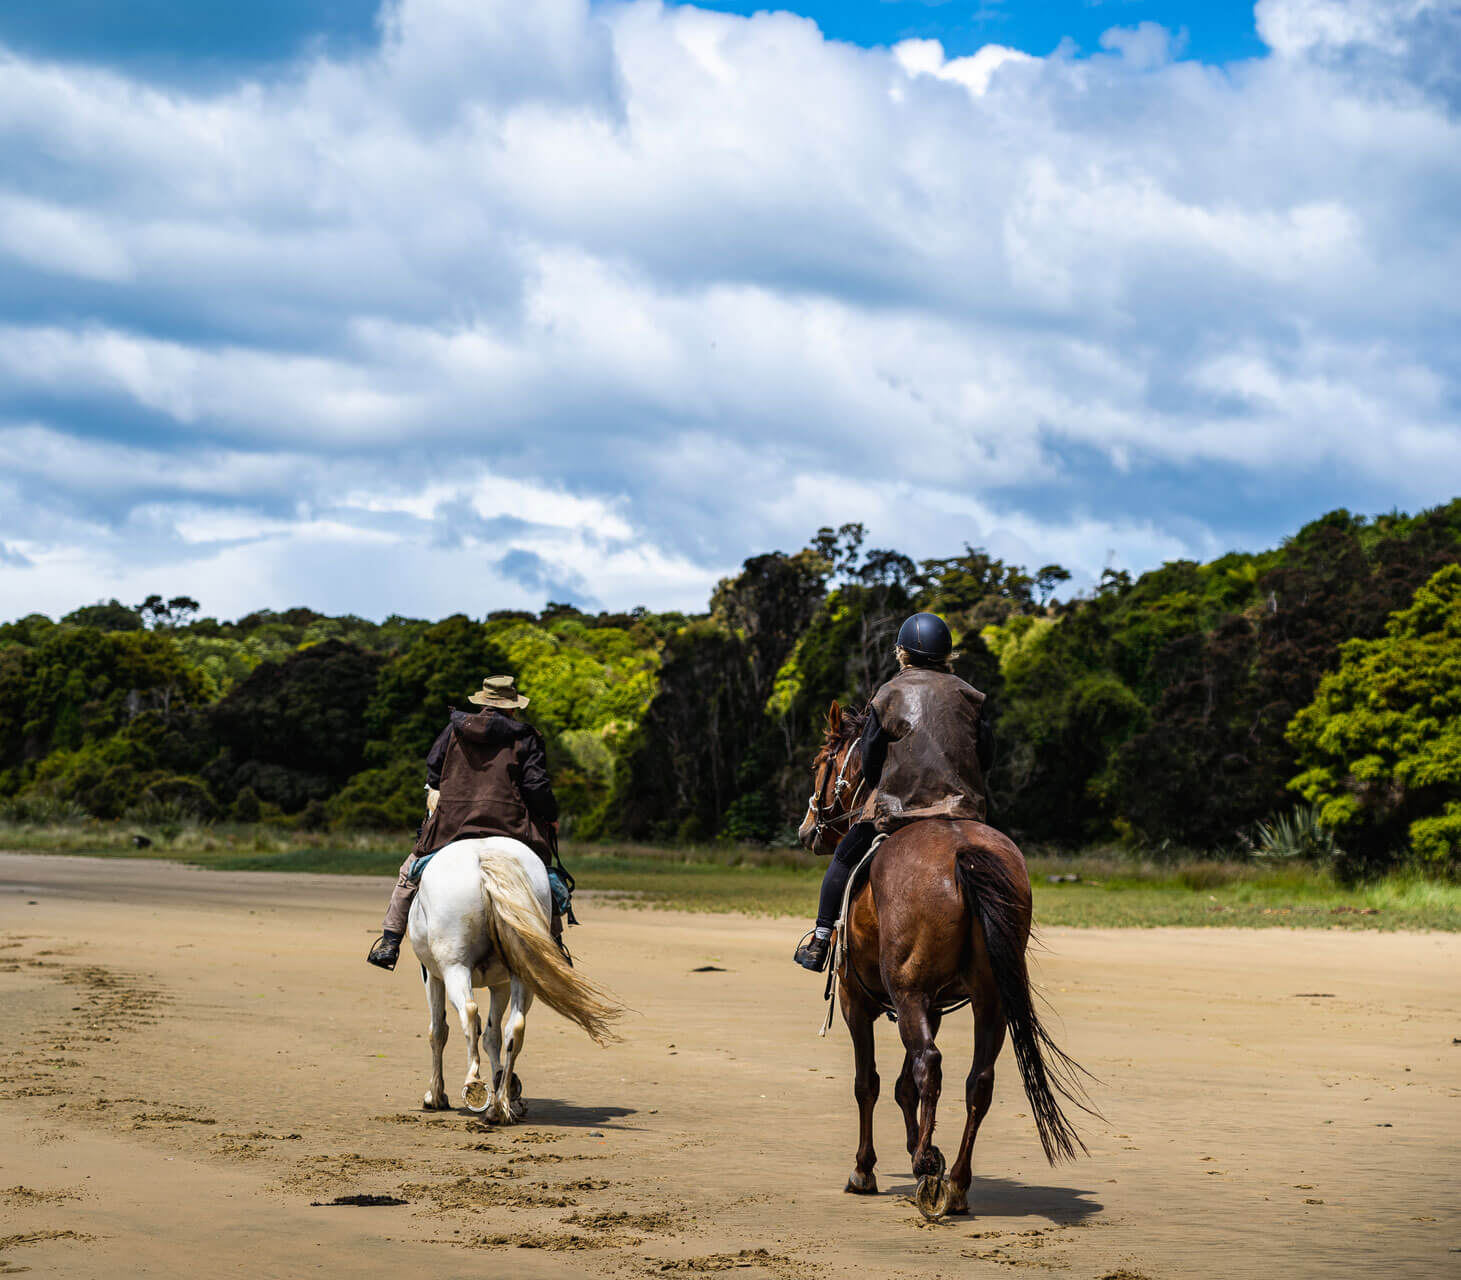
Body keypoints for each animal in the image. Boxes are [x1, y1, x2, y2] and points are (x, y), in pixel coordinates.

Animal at [406, 841, 622, 1122]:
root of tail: (484, 855)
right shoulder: (501, 984)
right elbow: (492, 1035)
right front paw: (506, 1087)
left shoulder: (432, 976)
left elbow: (439, 1031)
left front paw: (435, 1095)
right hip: (522, 973)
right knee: (515, 1028)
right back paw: (500, 1105)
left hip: (454, 967)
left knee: (469, 1013)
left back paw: (474, 1084)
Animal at [800, 704, 1098, 1215]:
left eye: (823, 762)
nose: (806, 829)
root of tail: (964, 850)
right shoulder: (933, 1004)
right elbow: (903, 1086)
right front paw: (918, 1149)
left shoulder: (860, 1000)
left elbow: (869, 1082)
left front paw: (867, 1168)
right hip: (988, 999)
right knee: (978, 1081)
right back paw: (955, 1181)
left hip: (908, 995)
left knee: (930, 1064)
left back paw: (930, 1172)